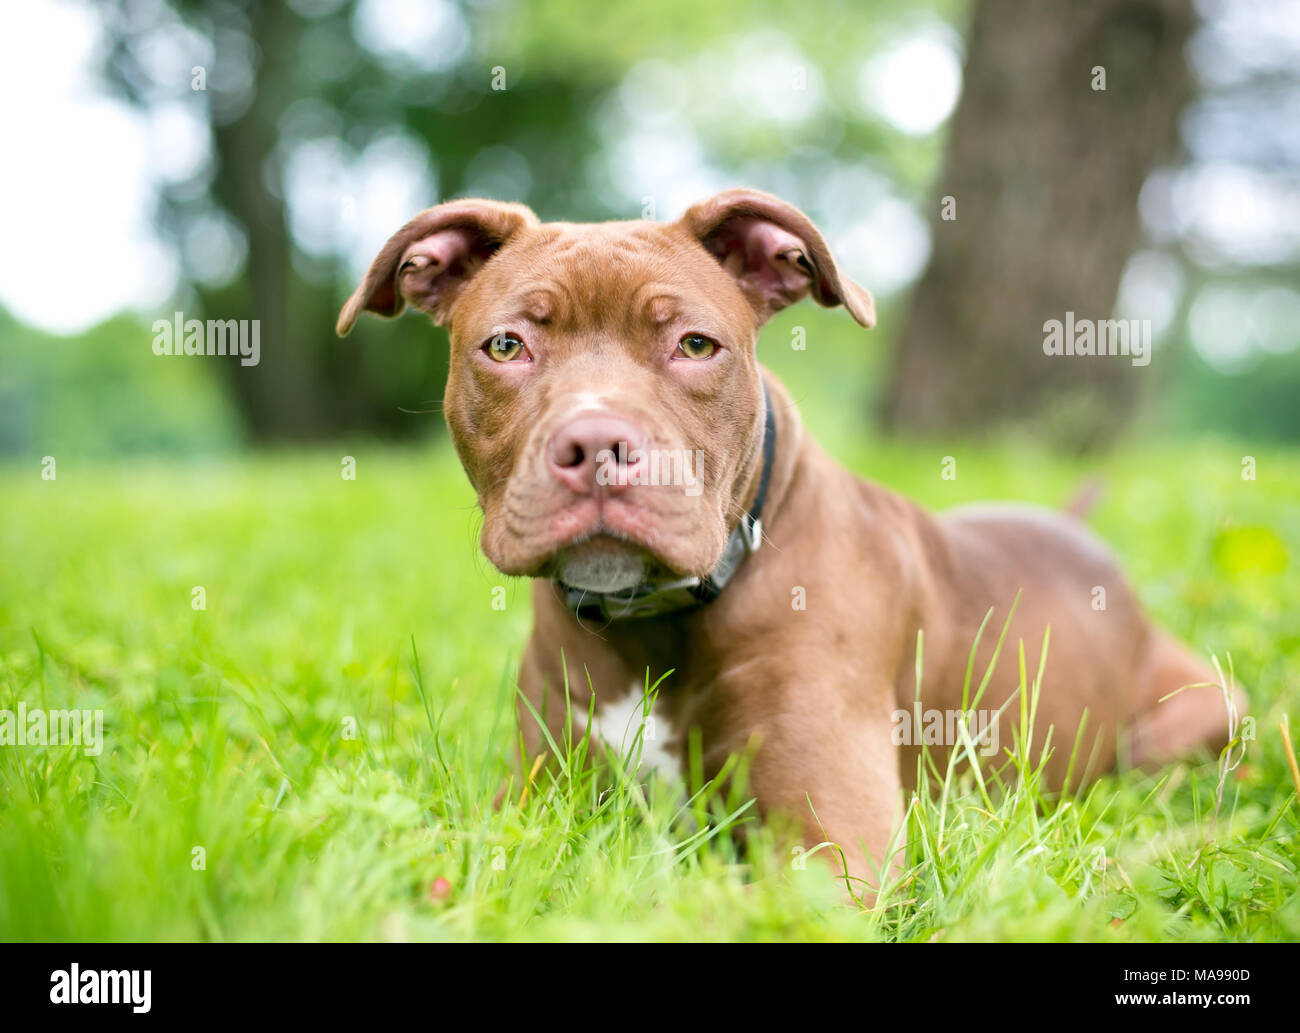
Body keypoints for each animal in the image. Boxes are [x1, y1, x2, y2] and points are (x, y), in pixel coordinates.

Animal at [340, 189, 1242, 899]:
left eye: (694, 345)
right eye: (506, 345)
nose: (596, 443)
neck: (655, 620)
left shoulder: (831, 847)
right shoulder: (532, 801)